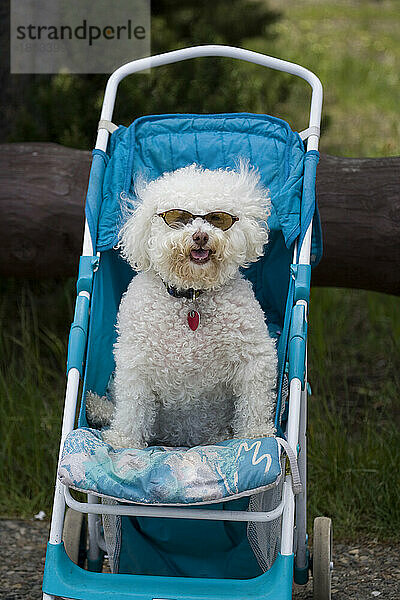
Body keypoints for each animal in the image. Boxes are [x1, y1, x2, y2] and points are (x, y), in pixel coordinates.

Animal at [88, 162, 276, 448]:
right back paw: (96, 406)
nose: (200, 236)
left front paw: (256, 434)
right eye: (178, 218)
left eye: (217, 219)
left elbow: (254, 400)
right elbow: (132, 407)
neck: (191, 297)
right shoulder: (136, 363)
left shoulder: (254, 356)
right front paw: (123, 440)